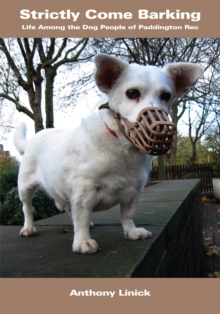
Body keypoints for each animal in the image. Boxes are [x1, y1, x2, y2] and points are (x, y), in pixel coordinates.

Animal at [13, 54, 203, 254]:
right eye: (132, 93)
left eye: (166, 95)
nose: (160, 126)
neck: (123, 147)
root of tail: (32, 139)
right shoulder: (83, 192)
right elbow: (81, 217)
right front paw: (83, 241)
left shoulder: (134, 192)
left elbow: (127, 214)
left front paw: (131, 231)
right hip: (25, 188)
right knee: (28, 209)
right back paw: (28, 227)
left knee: (68, 209)